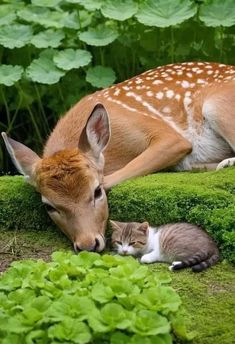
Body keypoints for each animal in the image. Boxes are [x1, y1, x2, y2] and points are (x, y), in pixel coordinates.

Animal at [1, 61, 235, 253]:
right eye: (49, 206)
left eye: (97, 192)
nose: (88, 244)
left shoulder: (170, 137)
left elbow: (112, 178)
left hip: (216, 106)